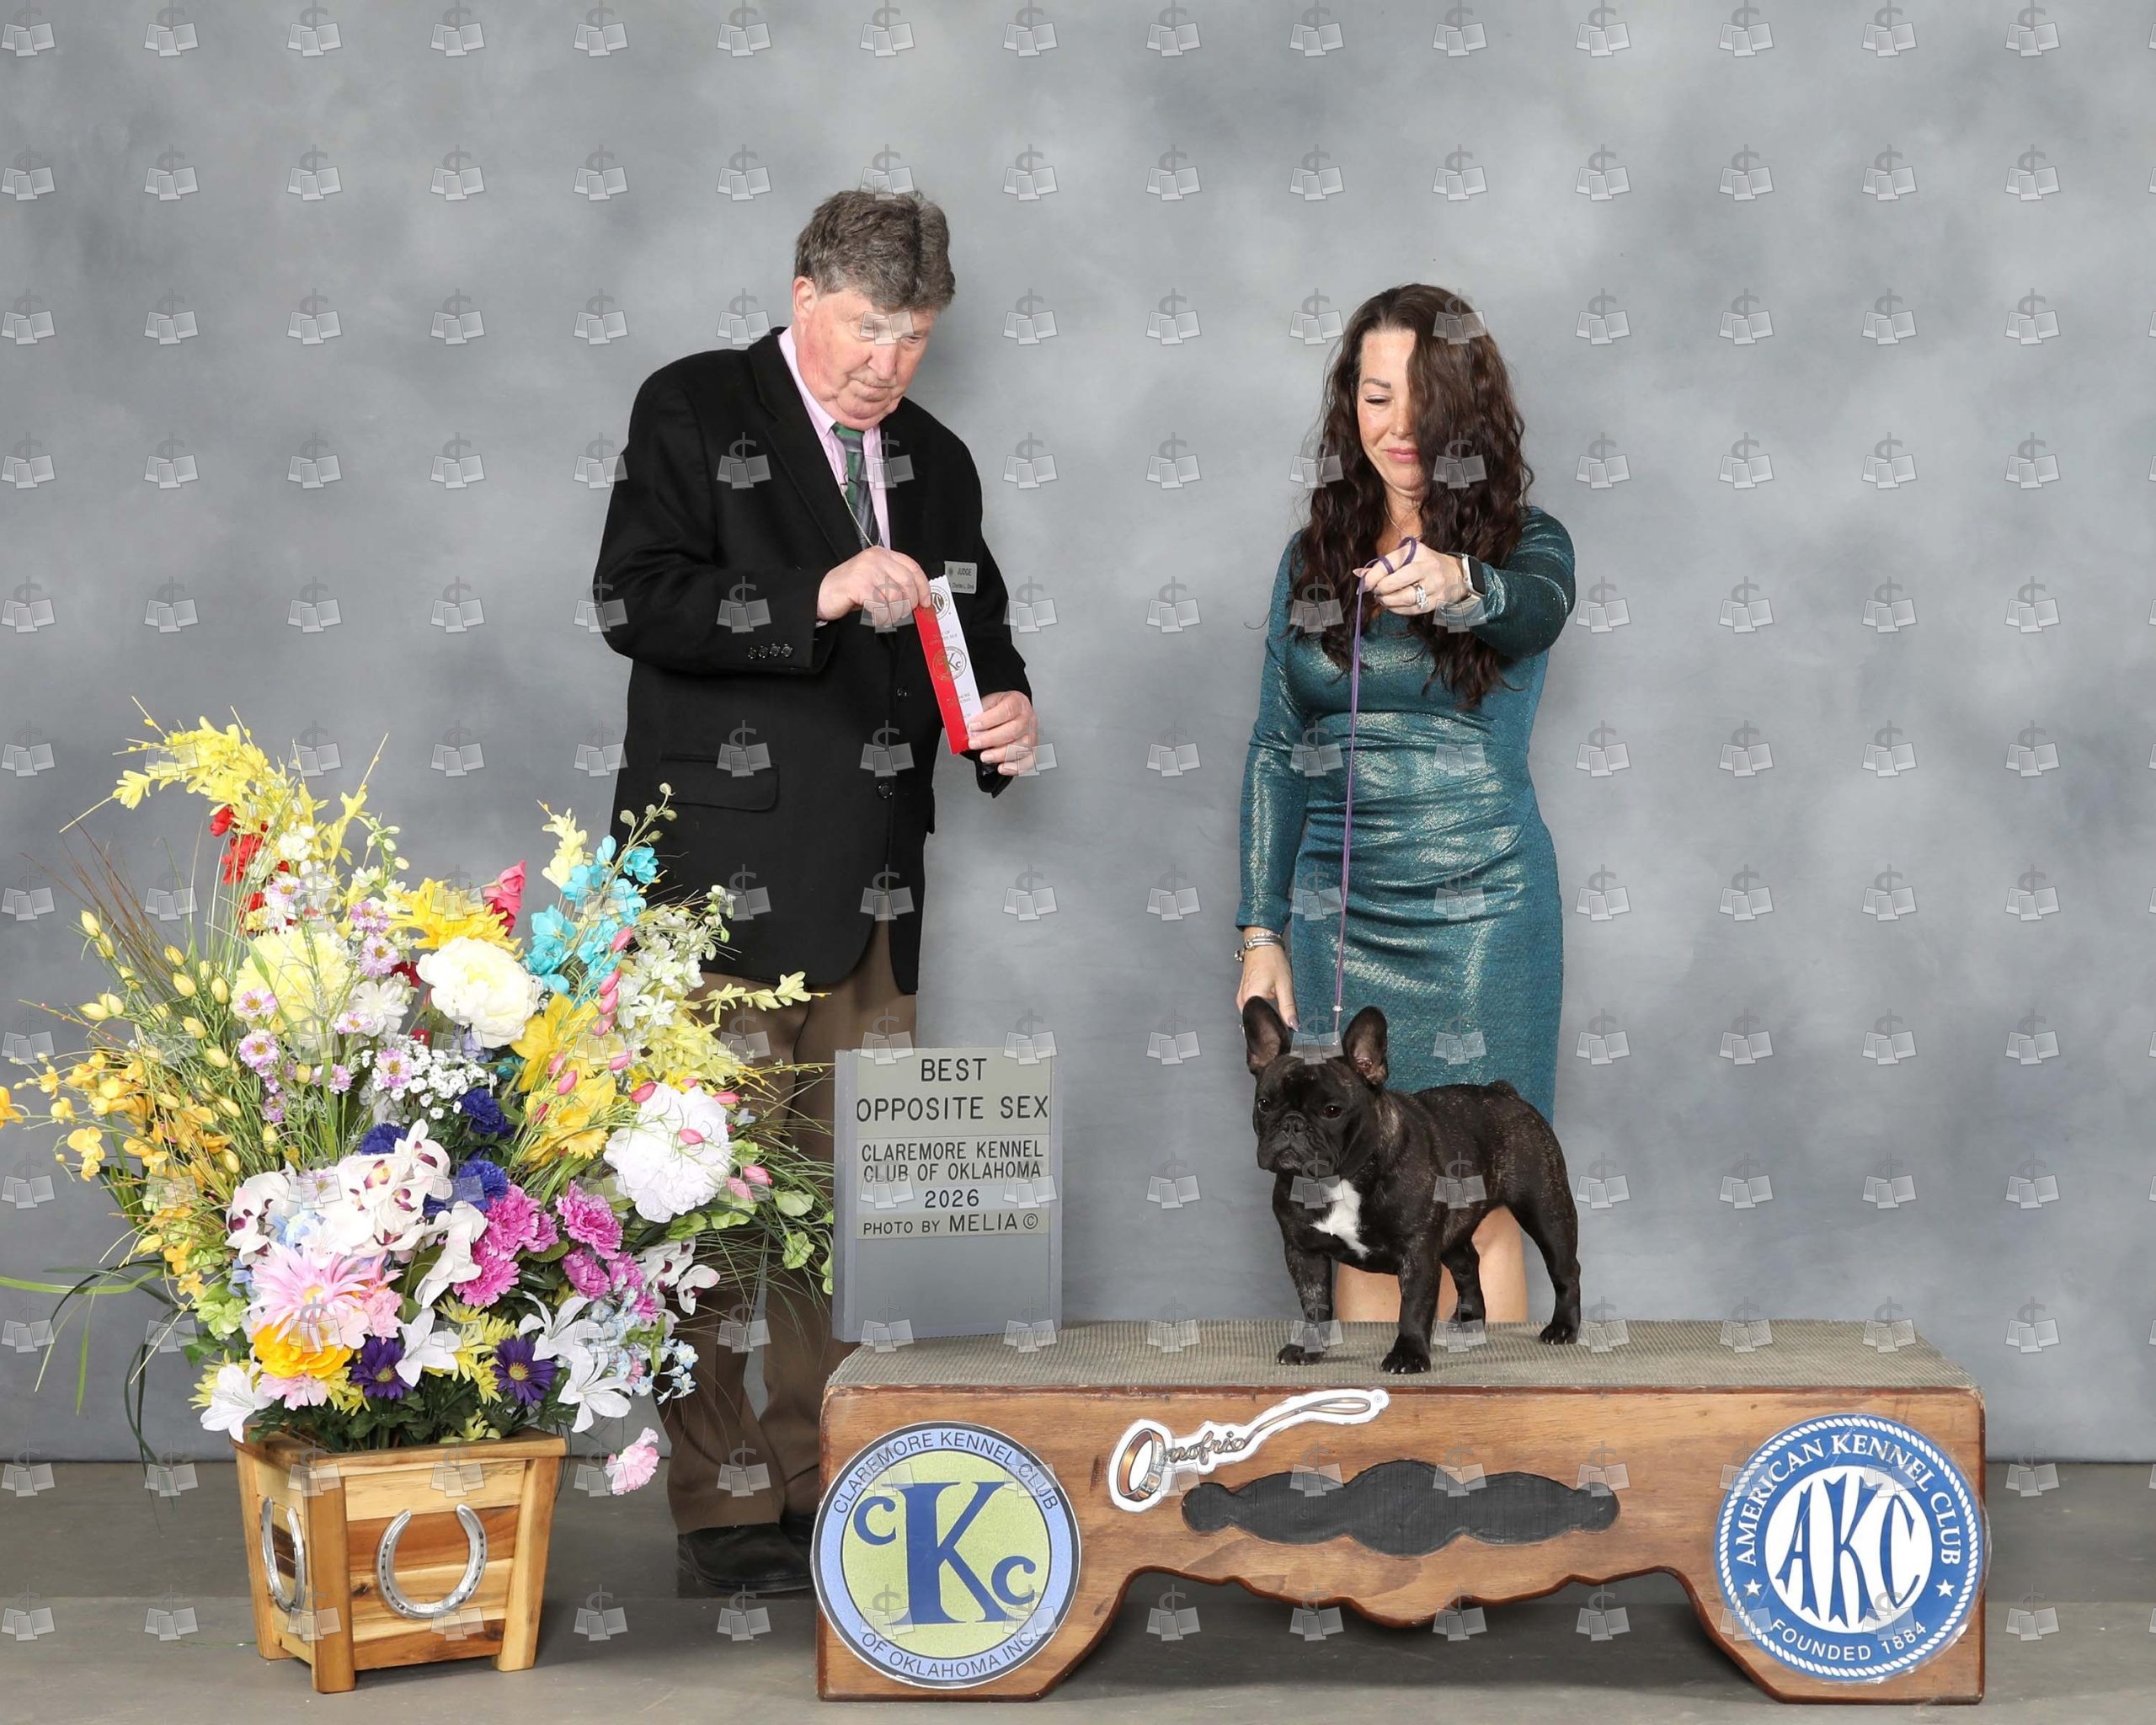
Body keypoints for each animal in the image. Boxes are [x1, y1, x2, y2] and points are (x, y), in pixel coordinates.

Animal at [1244, 996, 1582, 1375]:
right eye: (1264, 1104)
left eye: (1332, 1110)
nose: (1292, 1124)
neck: (1340, 1178)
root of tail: (1505, 1092)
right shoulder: (1304, 1251)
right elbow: (1314, 1303)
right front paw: (1308, 1347)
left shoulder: (1417, 1251)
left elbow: (1414, 1306)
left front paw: (1408, 1354)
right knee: (1467, 1262)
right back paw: (1468, 1320)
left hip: (1546, 1211)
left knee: (1565, 1270)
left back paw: (1563, 1327)